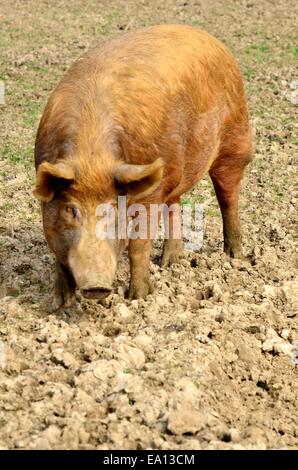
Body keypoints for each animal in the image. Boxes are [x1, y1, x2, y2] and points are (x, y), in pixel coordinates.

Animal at [34, 24, 254, 308]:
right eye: (70, 209)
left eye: (113, 209)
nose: (96, 287)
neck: (92, 155)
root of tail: (209, 37)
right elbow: (57, 250)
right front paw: (61, 304)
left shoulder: (148, 194)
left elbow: (139, 245)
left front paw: (138, 298)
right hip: (173, 169)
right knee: (174, 205)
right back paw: (170, 262)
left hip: (234, 139)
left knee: (228, 197)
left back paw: (234, 256)